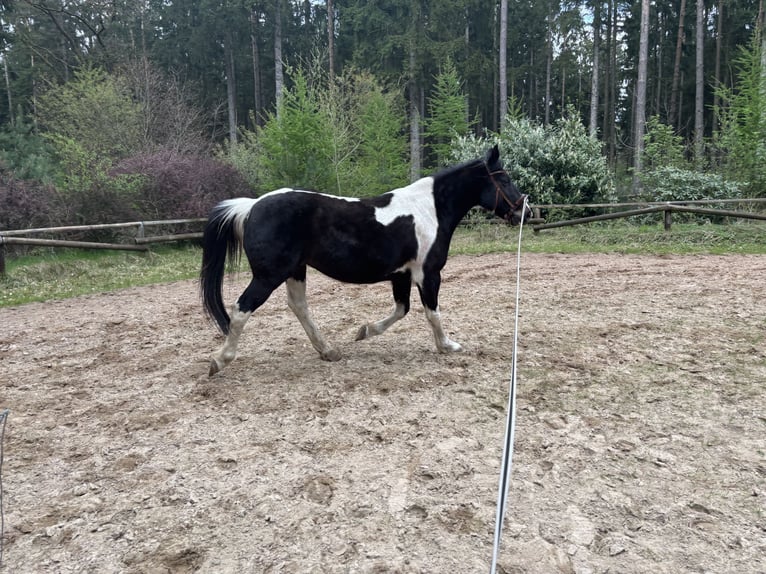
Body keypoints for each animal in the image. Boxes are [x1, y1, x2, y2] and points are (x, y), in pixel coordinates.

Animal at [200, 144, 530, 376]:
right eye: (504, 178)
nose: (523, 211)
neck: (430, 210)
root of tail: (251, 206)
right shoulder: (427, 274)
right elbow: (432, 313)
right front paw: (447, 345)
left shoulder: (401, 275)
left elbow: (401, 310)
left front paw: (365, 331)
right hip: (269, 276)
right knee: (241, 309)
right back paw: (219, 361)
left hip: (295, 270)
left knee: (299, 306)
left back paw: (329, 351)